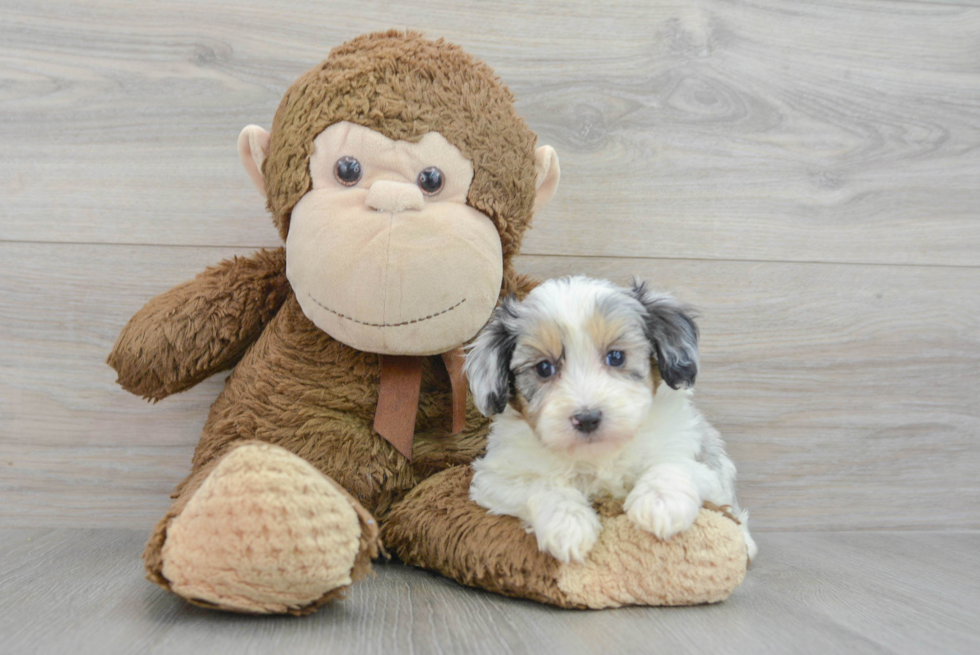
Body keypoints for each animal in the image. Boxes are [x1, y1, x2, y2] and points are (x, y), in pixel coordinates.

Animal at [462, 276, 756, 564]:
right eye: (544, 368)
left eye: (616, 357)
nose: (587, 418)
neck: (599, 455)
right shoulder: (494, 477)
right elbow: (541, 484)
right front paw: (568, 523)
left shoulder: (700, 464)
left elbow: (673, 464)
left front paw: (660, 501)